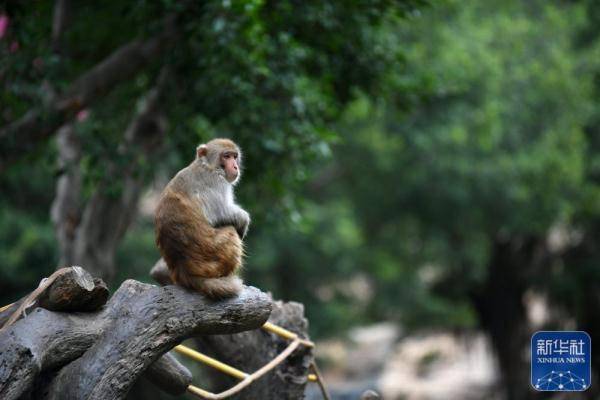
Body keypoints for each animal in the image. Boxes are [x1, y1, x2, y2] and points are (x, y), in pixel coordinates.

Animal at [155, 139, 251, 298]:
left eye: (234, 156)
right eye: (226, 156)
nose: (235, 166)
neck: (207, 165)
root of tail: (185, 272)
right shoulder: (216, 181)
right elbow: (219, 213)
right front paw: (244, 221)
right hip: (211, 257)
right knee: (230, 231)